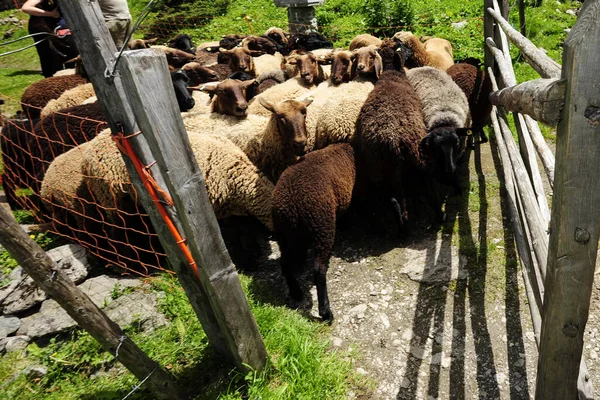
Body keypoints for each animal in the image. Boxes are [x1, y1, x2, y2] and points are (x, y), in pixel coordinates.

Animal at [274, 144, 356, 322]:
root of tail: (291, 206)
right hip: (322, 227)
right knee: (318, 271)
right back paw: (326, 312)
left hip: (284, 234)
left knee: (285, 262)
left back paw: (296, 292)